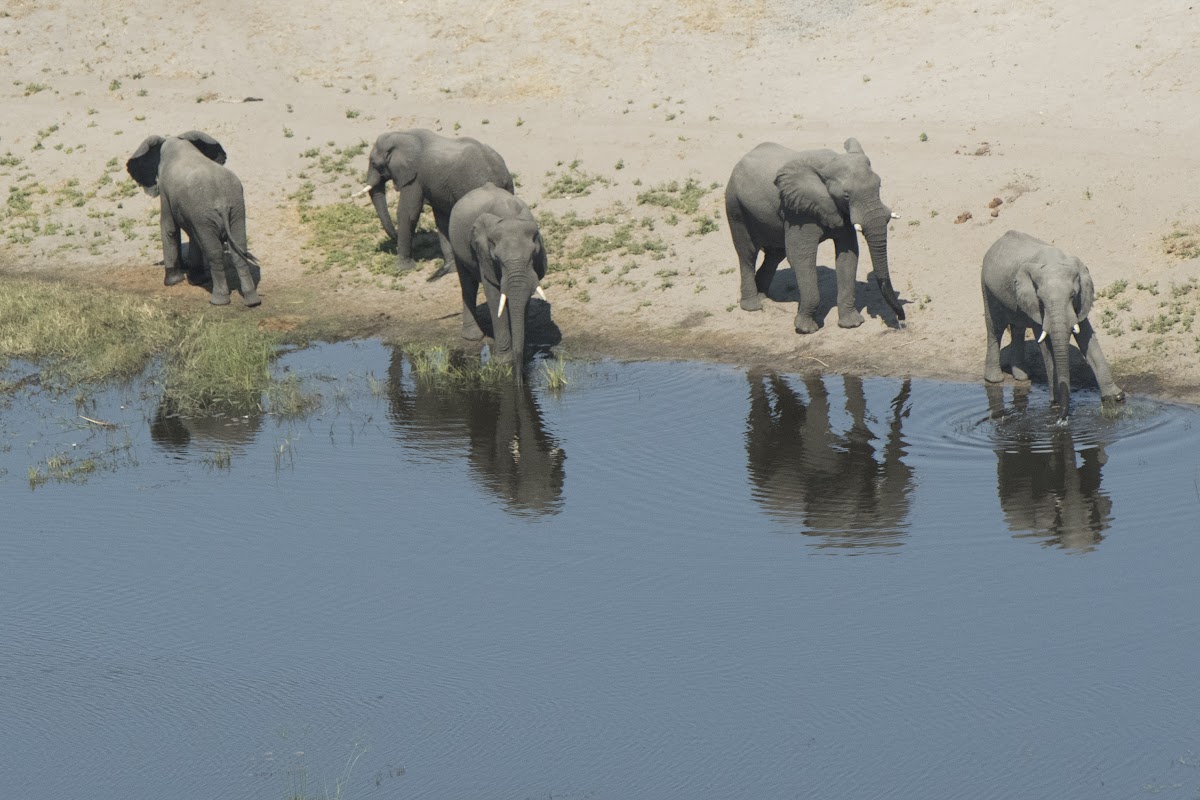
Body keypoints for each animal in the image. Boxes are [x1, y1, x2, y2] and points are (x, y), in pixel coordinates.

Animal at [126, 131, 261, 306]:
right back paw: (252, 301)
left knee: (214, 253)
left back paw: (218, 301)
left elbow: (169, 228)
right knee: (238, 249)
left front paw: (173, 281)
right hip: (235, 210)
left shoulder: (166, 192)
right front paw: (196, 280)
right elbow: (193, 235)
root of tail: (222, 203)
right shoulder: (194, 213)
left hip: (210, 212)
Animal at [355, 129, 514, 277]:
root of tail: (502, 174)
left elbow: (408, 213)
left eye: (374, 164)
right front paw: (450, 269)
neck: (402, 134)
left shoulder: (414, 178)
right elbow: (442, 219)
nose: (394, 235)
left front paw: (402, 268)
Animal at [448, 183, 548, 375]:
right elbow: (494, 294)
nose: (519, 375)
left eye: (533, 255)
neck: (510, 217)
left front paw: (524, 354)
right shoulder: (484, 255)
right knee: (467, 283)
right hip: (456, 245)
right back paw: (473, 337)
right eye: (498, 259)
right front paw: (504, 361)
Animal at [724, 139, 905, 333]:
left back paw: (762, 295)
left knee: (775, 255)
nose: (901, 321)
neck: (828, 164)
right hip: (735, 205)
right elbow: (800, 257)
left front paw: (851, 324)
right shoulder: (799, 210)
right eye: (846, 196)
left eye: (879, 185)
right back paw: (753, 306)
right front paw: (806, 329)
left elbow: (848, 255)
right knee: (748, 253)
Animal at [981, 230, 1124, 420]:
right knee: (995, 328)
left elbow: (1087, 337)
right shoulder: (1036, 306)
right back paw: (995, 379)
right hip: (987, 287)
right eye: (1041, 299)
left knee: (1018, 328)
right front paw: (1056, 404)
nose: (1063, 418)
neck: (1053, 261)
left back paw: (1022, 376)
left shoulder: (1080, 302)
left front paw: (1115, 397)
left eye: (1072, 295)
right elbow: (1047, 346)